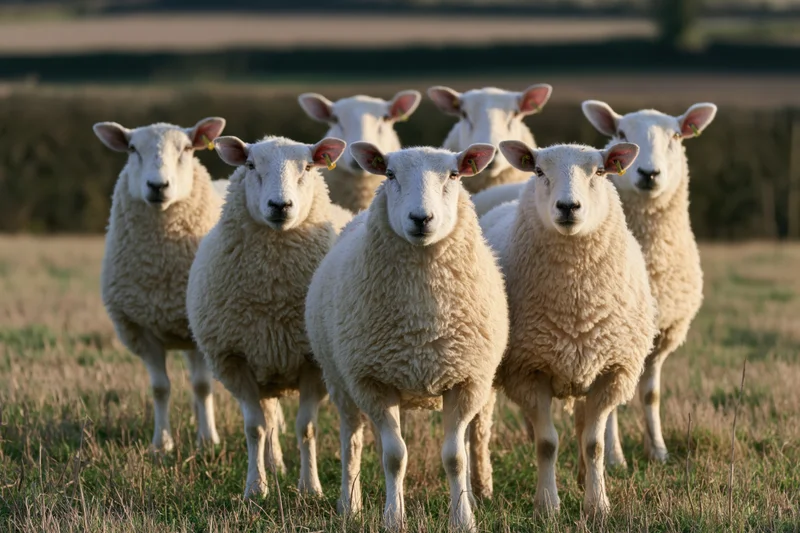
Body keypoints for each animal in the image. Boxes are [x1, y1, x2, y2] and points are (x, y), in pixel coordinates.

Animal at [94, 117, 227, 452]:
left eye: (187, 149)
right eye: (132, 149)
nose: (157, 186)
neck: (161, 269)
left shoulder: (197, 330)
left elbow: (202, 386)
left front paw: (208, 440)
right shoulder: (142, 330)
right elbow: (160, 388)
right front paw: (161, 444)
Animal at [186, 135, 351, 498]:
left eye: (308, 167)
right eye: (250, 165)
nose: (280, 205)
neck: (272, 296)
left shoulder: (312, 363)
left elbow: (306, 428)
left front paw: (311, 488)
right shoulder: (236, 360)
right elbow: (255, 428)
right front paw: (255, 487)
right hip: (265, 365)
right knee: (270, 418)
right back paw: (274, 465)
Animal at [305, 142, 508, 531]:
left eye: (454, 175)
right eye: (390, 175)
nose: (421, 218)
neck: (422, 320)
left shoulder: (467, 381)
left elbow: (456, 456)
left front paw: (463, 517)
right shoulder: (373, 382)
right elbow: (394, 456)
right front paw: (393, 517)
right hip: (340, 379)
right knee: (351, 439)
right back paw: (349, 504)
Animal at [480, 140, 657, 515]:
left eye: (600, 172)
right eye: (538, 171)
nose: (568, 207)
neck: (576, 304)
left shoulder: (611, 371)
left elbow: (594, 443)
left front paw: (597, 504)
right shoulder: (527, 370)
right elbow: (547, 443)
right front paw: (547, 505)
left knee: (580, 424)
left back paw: (582, 476)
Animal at [581, 100, 715, 466]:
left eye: (676, 136)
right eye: (621, 133)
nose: (649, 174)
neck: (650, 259)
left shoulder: (661, 334)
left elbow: (651, 395)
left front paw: (658, 450)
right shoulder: (615, 337)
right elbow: (610, 407)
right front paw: (615, 457)